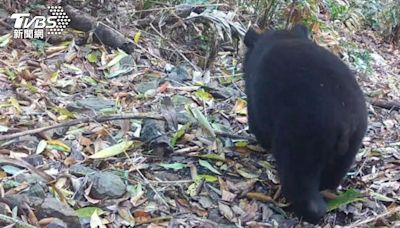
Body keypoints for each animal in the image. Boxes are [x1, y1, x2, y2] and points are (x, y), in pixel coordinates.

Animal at [242, 24, 368, 223]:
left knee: (298, 176)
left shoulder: (256, 96)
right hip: (352, 144)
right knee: (332, 176)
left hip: (303, 136)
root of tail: (346, 121)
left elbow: (257, 123)